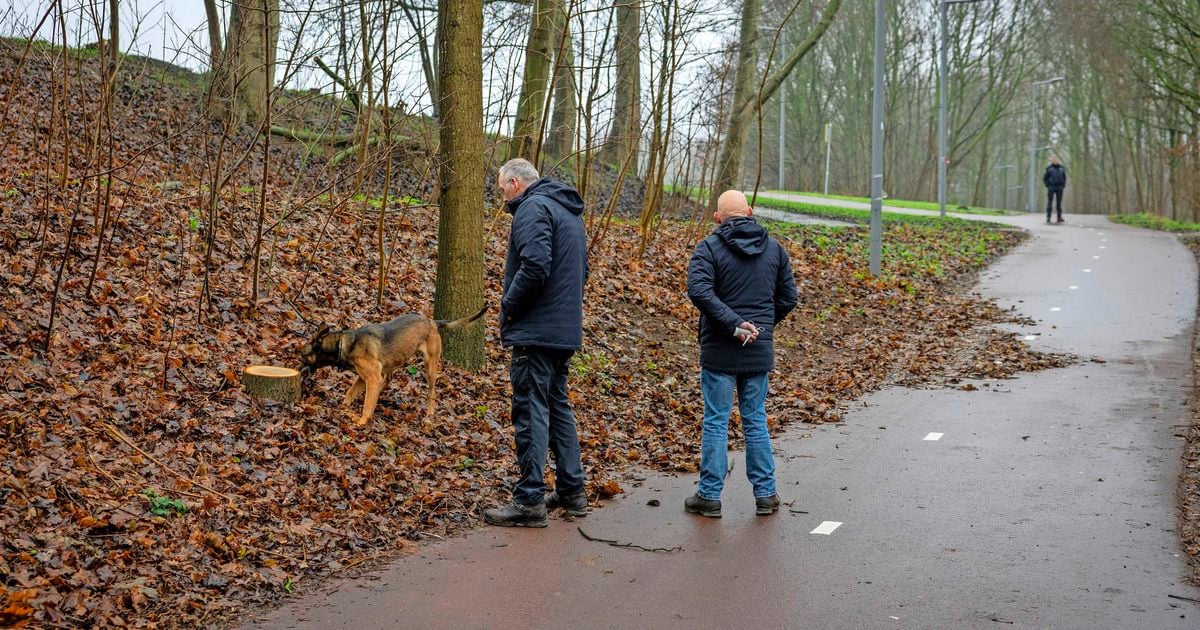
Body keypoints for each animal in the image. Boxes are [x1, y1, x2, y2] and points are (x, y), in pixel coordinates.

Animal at [300, 307, 487, 424]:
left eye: (302, 356)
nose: (298, 371)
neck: (345, 344)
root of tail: (432, 322)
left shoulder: (372, 378)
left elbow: (366, 406)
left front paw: (361, 422)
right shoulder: (364, 377)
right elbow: (350, 393)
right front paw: (343, 408)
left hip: (430, 366)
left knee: (432, 392)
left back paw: (429, 414)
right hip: (393, 364)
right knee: (388, 380)